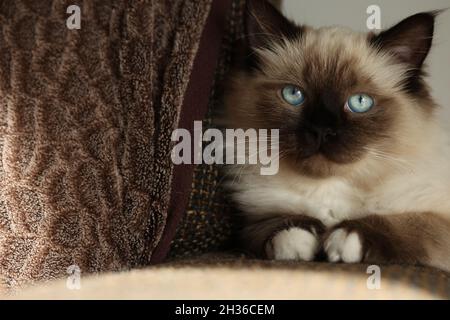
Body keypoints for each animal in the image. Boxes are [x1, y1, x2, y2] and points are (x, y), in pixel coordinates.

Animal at [223, 0, 450, 272]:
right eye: (293, 95)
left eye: (360, 102)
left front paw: (344, 238)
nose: (322, 130)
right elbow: (275, 223)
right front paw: (298, 240)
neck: (332, 186)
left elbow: (402, 224)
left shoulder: (436, 218)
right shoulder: (253, 219)